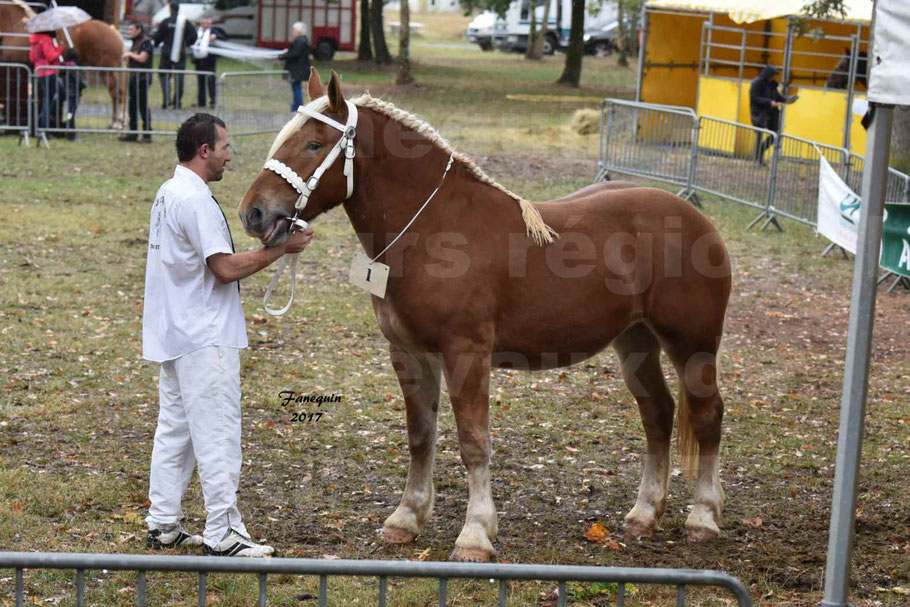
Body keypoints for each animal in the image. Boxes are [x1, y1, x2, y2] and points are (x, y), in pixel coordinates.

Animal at [237, 70, 732, 560]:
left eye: (313, 144)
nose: (253, 212)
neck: (434, 229)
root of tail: (696, 219)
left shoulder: (466, 354)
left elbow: (474, 444)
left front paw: (474, 534)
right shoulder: (409, 355)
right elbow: (420, 436)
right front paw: (406, 518)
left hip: (692, 345)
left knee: (707, 415)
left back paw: (703, 518)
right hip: (635, 341)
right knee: (658, 414)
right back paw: (644, 514)